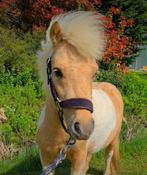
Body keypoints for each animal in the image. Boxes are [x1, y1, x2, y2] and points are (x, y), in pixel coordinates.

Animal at [36, 11, 123, 175]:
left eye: (94, 73)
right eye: (57, 71)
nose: (84, 128)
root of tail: (111, 87)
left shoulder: (78, 159)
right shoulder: (46, 160)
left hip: (112, 140)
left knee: (108, 158)